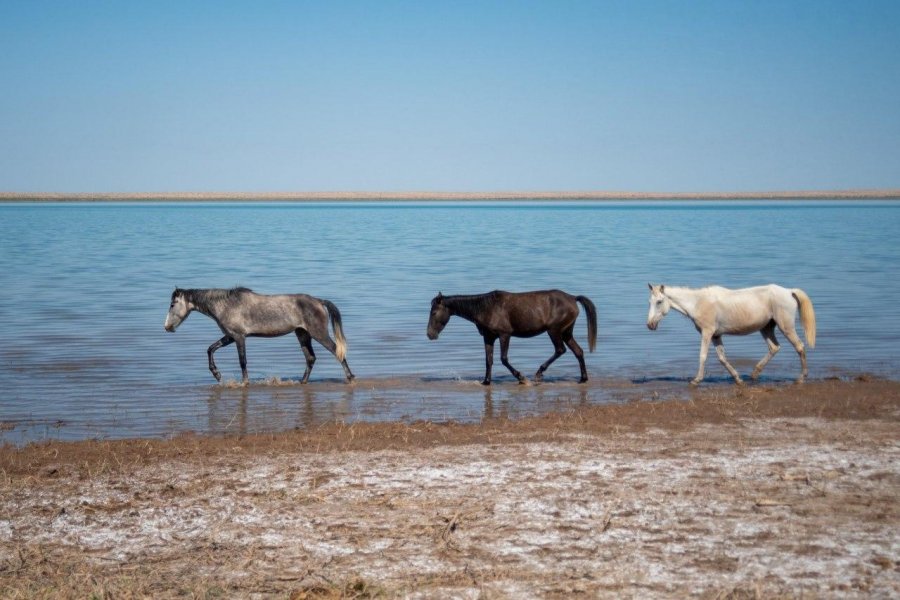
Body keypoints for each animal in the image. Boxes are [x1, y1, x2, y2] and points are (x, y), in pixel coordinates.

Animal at [165, 288, 356, 384]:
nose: (167, 327)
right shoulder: (230, 336)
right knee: (310, 358)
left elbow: (242, 361)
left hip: (318, 333)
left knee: (337, 351)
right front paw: (217, 374)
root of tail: (318, 301)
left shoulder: (239, 337)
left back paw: (350, 377)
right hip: (302, 334)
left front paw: (244, 382)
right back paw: (302, 381)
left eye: (173, 304)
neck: (226, 305)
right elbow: (210, 349)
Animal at [428, 290, 596, 384]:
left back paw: (538, 374)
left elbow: (503, 359)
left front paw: (521, 378)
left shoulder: (504, 335)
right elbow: (488, 360)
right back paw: (583, 379)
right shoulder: (488, 337)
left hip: (554, 330)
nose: (430, 334)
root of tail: (573, 298)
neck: (486, 308)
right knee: (578, 351)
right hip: (566, 332)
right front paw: (486, 382)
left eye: (434, 312)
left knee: (560, 350)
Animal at [648, 284, 816, 386]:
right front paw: (738, 379)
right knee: (774, 347)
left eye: (659, 301)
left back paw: (801, 378)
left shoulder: (707, 333)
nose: (650, 325)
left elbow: (703, 355)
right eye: (650, 301)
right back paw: (754, 374)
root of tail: (789, 291)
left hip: (786, 327)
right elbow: (722, 358)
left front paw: (696, 380)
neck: (698, 303)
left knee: (799, 347)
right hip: (766, 328)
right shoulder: (716, 336)